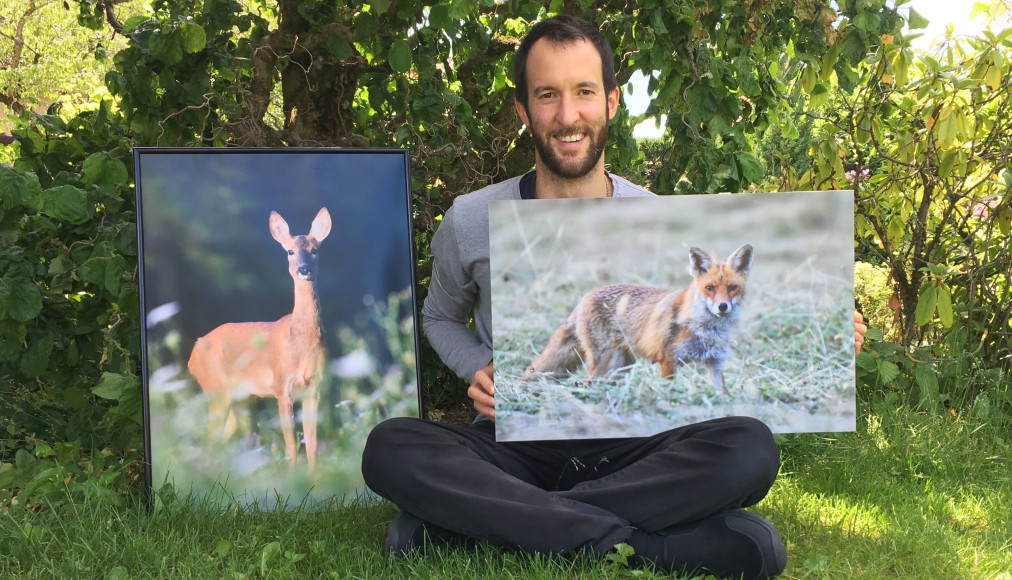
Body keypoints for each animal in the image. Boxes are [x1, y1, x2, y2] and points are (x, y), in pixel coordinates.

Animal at [187, 205, 331, 467]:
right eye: (290, 251)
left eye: (314, 250)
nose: (303, 269)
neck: (301, 342)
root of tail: (193, 352)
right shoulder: (281, 386)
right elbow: (292, 446)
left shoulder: (314, 388)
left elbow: (313, 447)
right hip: (215, 387)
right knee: (210, 441)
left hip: (243, 397)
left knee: (225, 437)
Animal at [522, 241, 752, 390]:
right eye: (709, 288)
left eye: (732, 288)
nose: (722, 307)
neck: (706, 328)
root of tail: (587, 295)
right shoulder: (667, 360)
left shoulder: (715, 363)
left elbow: (720, 392)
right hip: (601, 360)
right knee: (586, 381)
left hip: (620, 365)